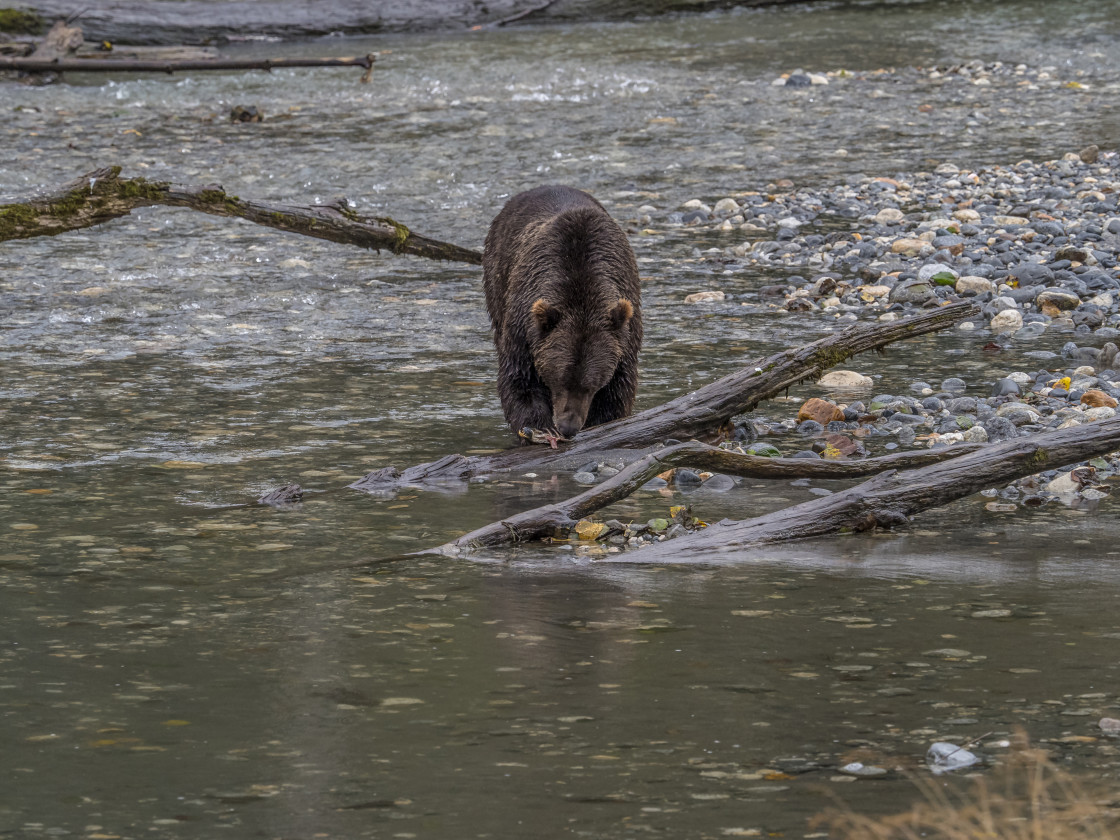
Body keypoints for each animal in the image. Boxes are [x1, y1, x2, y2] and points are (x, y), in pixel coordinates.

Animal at [486, 187, 645, 443]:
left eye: (591, 385)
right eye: (559, 380)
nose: (568, 427)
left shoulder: (625, 336)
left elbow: (617, 391)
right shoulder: (524, 327)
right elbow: (519, 379)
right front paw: (539, 427)